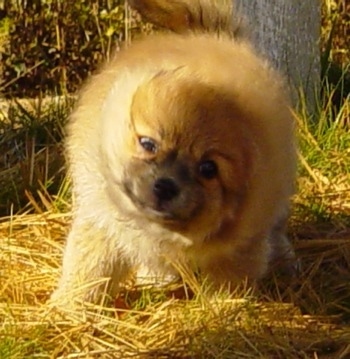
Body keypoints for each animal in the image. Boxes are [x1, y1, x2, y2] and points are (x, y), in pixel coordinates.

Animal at [52, 0, 296, 306]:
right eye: (148, 144)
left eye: (208, 169)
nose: (166, 185)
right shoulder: (103, 225)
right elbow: (87, 272)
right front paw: (67, 307)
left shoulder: (239, 250)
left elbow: (227, 286)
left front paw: (224, 313)